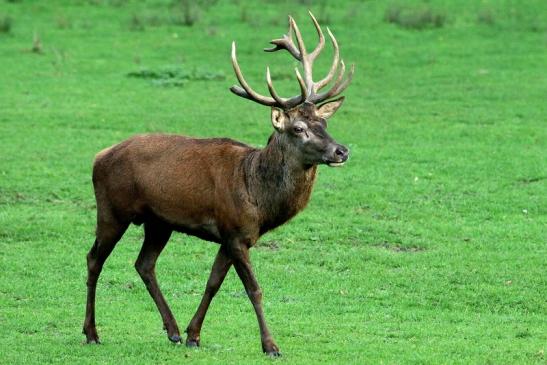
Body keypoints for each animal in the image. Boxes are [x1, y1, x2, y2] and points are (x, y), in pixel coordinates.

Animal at [82, 12, 356, 356]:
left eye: (324, 122)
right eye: (298, 128)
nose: (341, 151)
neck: (259, 198)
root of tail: (98, 156)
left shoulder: (233, 236)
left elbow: (213, 283)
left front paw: (193, 335)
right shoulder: (235, 232)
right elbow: (254, 289)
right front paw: (270, 345)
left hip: (159, 222)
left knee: (144, 264)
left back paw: (172, 330)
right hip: (111, 210)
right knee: (94, 259)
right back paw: (91, 332)